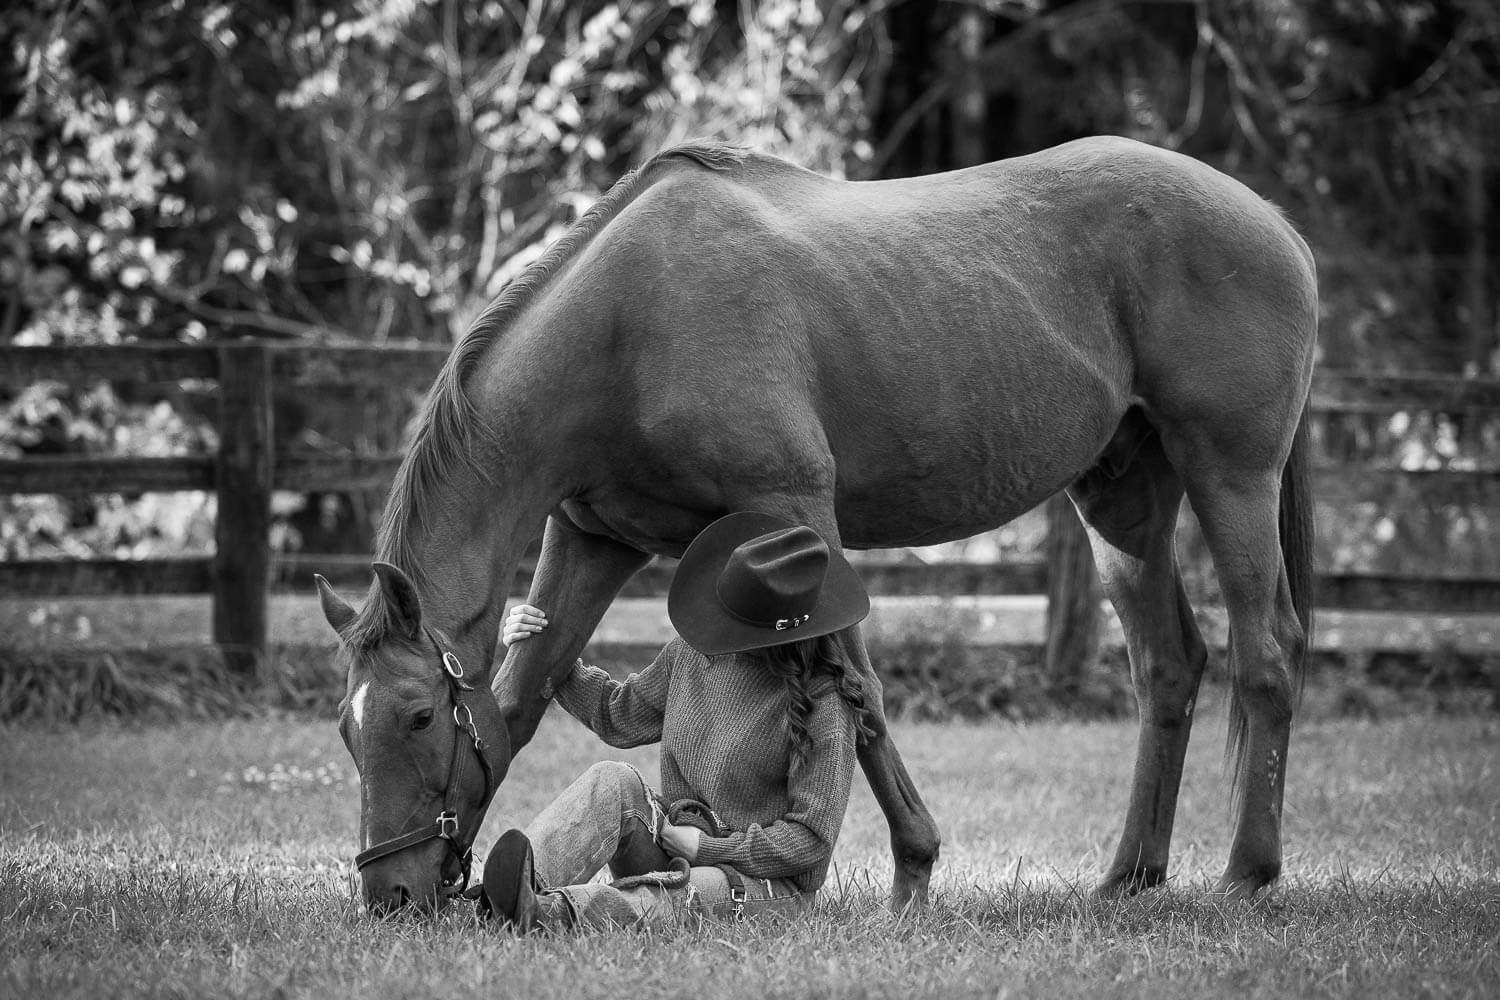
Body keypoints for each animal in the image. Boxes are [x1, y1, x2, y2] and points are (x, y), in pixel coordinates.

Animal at [315, 136, 1317, 915]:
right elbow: (519, 700)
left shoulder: (798, 512)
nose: (391, 895)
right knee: (1169, 668)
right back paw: (1129, 876)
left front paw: (913, 871)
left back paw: (1247, 874)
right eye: (346, 727)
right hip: (1122, 502)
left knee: (1267, 652)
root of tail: (1272, 220)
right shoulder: (594, 538)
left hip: (1230, 476)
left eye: (415, 716)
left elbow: (859, 697)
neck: (629, 327)